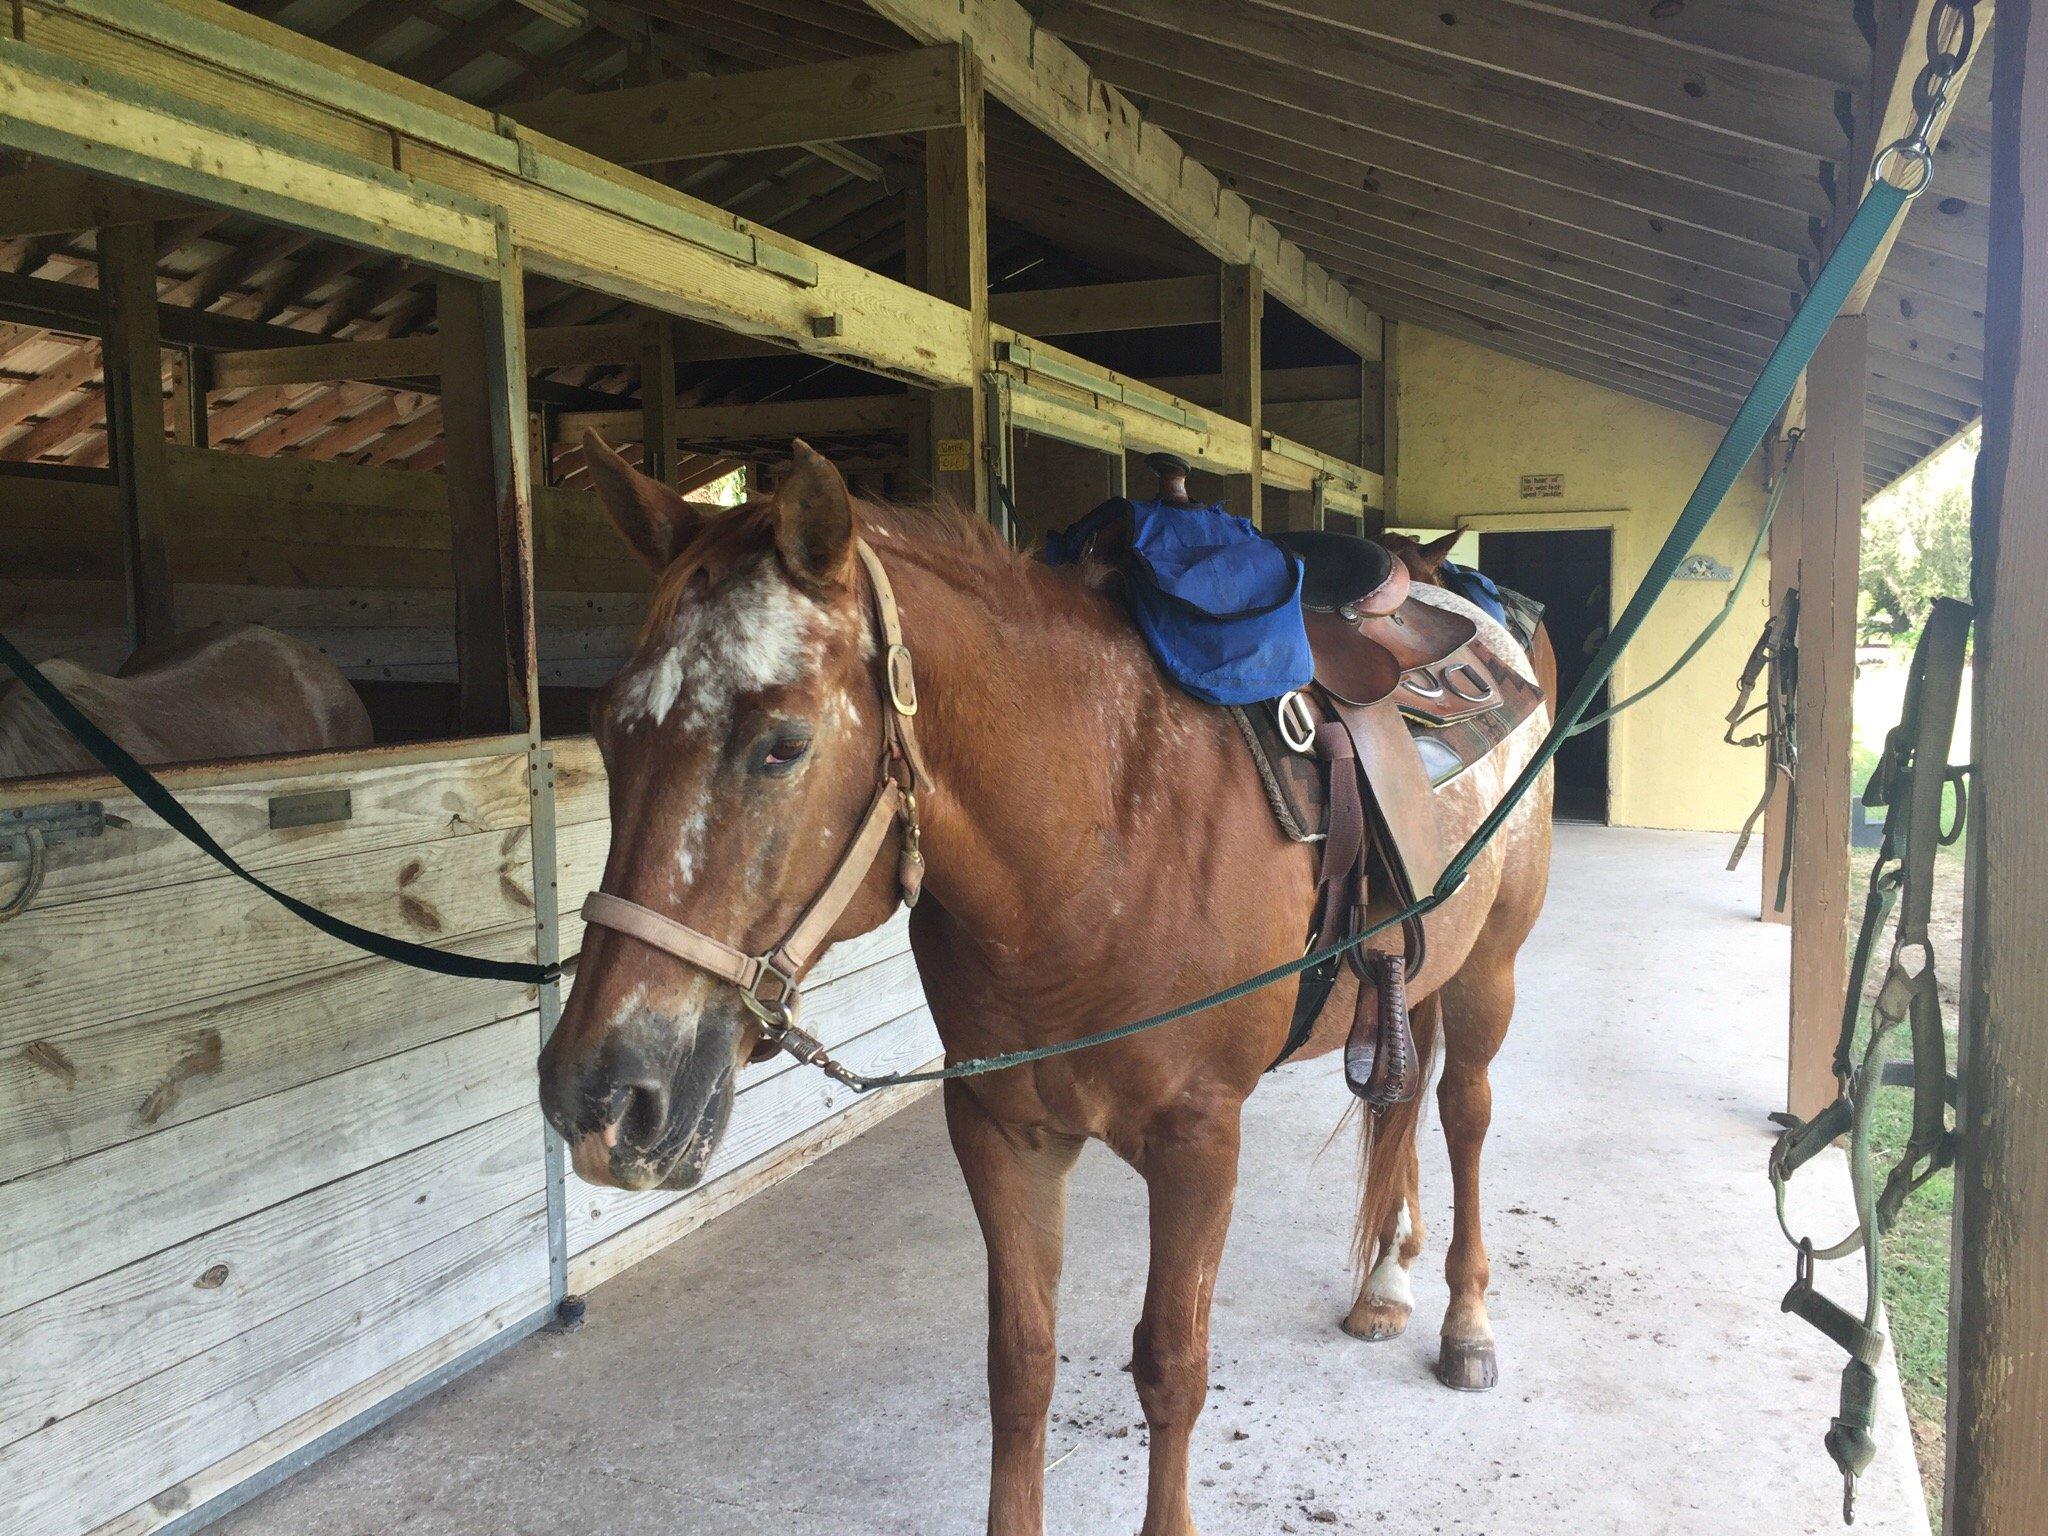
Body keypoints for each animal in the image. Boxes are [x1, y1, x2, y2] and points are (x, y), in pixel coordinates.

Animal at [540, 442, 1548, 1536]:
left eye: (783, 745)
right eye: (605, 730)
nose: (600, 1095)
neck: (1094, 841)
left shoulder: (1199, 1145)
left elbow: (1171, 1367)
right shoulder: (1000, 1129)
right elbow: (1019, 1366)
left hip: (1489, 971)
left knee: (1464, 1112)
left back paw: (1466, 1324)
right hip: (1402, 985)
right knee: (1398, 1103)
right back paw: (1385, 1283)